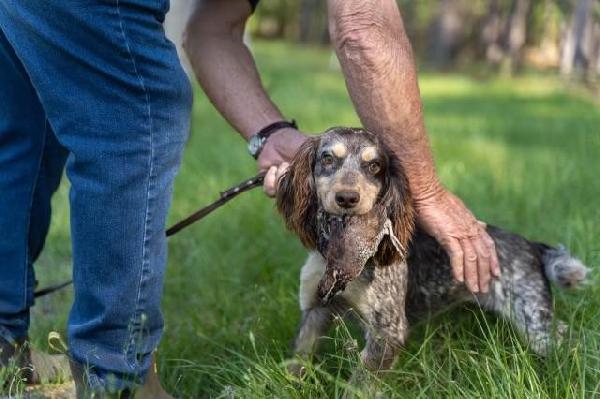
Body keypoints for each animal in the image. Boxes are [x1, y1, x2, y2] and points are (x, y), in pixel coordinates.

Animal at [276, 127, 592, 378]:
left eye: (375, 166)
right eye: (328, 158)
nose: (347, 198)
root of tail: (531, 245)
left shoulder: (387, 332)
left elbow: (360, 385)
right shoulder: (315, 310)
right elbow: (300, 355)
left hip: (535, 322)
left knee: (572, 341)